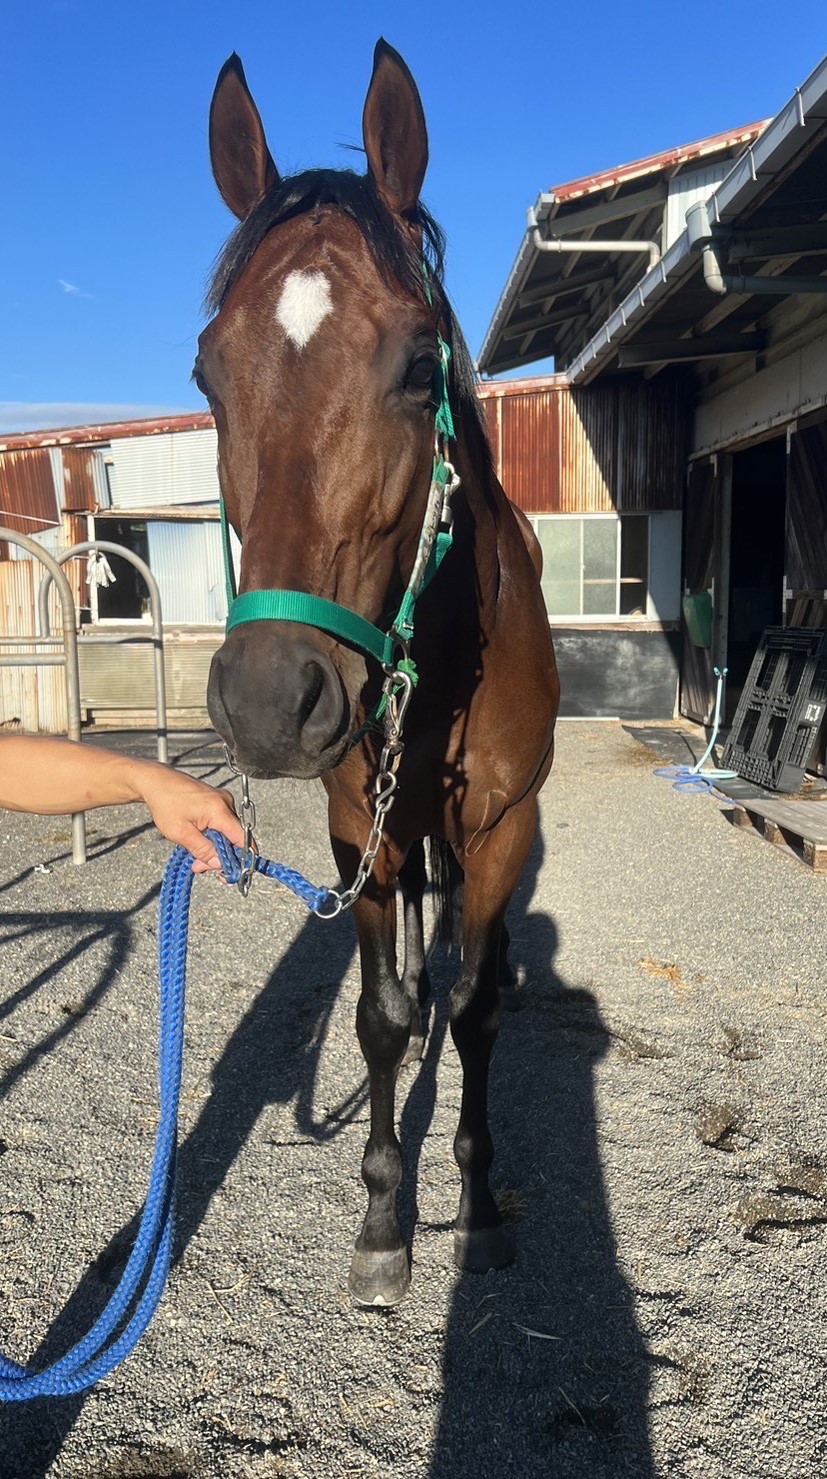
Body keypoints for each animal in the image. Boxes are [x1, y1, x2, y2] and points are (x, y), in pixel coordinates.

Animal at [200, 39, 560, 1307]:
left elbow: (472, 1012)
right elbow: (382, 1017)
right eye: (205, 374)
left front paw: (477, 1205)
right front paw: (379, 1222)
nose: (270, 699)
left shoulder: (499, 824)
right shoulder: (359, 827)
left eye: (416, 365)